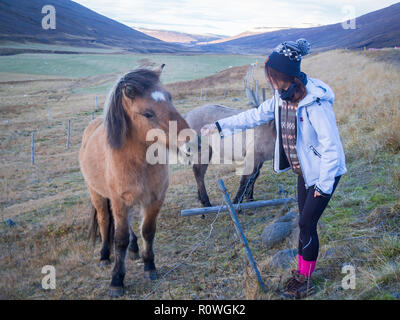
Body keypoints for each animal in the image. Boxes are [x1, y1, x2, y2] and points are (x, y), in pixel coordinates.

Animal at [80, 65, 191, 298]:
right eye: (147, 113)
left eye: (170, 98)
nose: (192, 142)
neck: (138, 161)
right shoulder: (119, 202)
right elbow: (119, 239)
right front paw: (116, 281)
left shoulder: (154, 199)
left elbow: (148, 231)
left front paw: (150, 267)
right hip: (98, 195)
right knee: (104, 221)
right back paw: (104, 256)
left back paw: (134, 250)